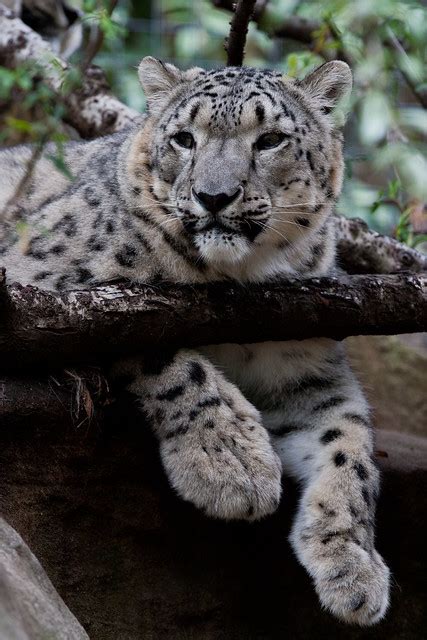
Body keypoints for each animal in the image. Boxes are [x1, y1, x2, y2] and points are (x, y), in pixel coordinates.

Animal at [0, 56, 392, 624]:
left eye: (270, 139)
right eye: (184, 138)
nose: (214, 197)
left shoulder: (307, 369)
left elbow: (350, 446)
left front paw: (354, 566)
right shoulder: (48, 286)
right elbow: (148, 334)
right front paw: (232, 462)